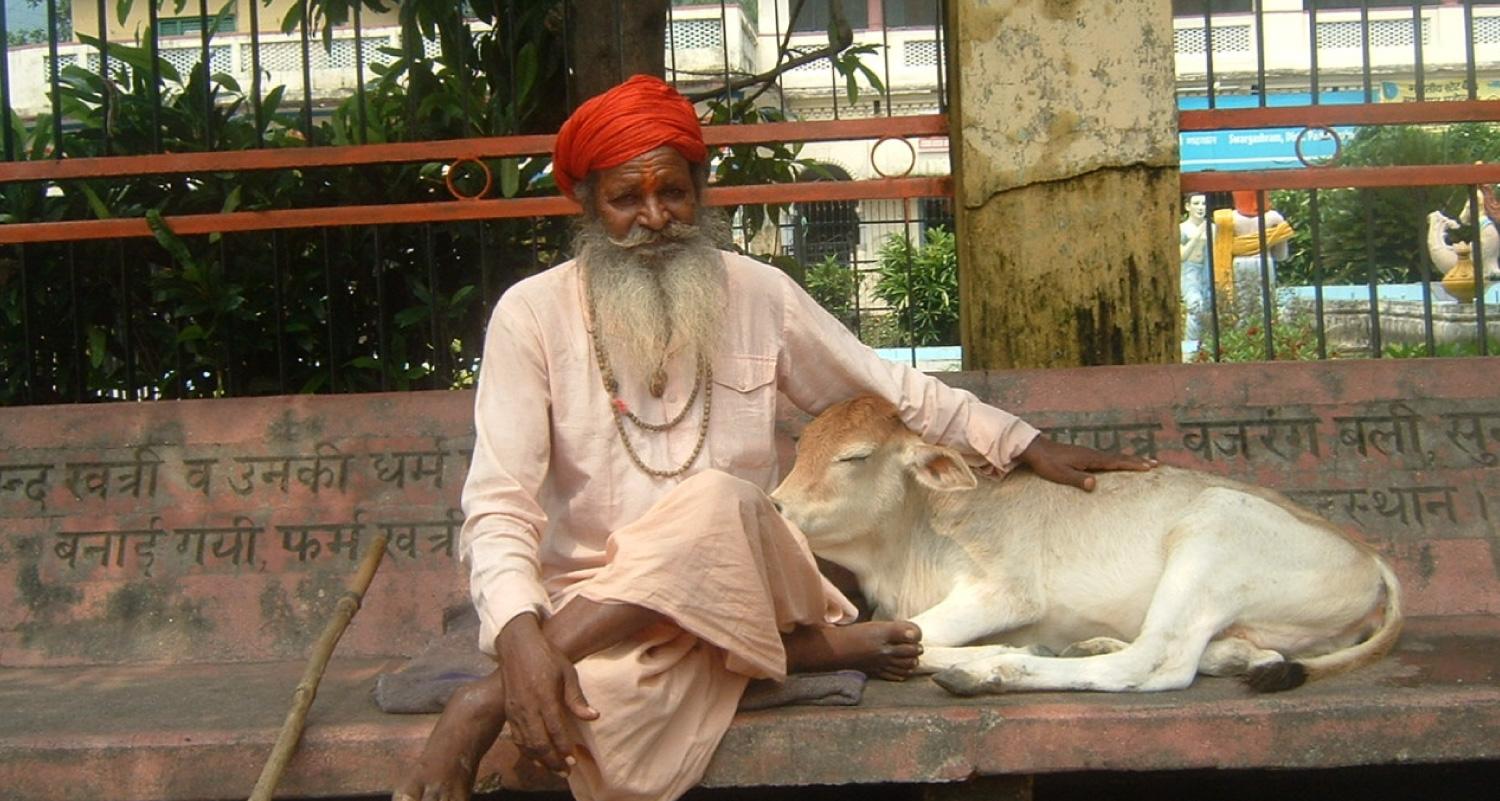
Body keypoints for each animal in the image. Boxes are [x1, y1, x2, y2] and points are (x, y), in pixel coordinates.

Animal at [774, 399, 1404, 693]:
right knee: (1231, 654)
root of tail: (1372, 560)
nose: (775, 506)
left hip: (1212, 536)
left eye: (854, 457)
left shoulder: (1005, 591)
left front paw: (995, 655)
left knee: (1157, 662)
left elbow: (921, 637)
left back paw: (999, 673)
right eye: (801, 446)